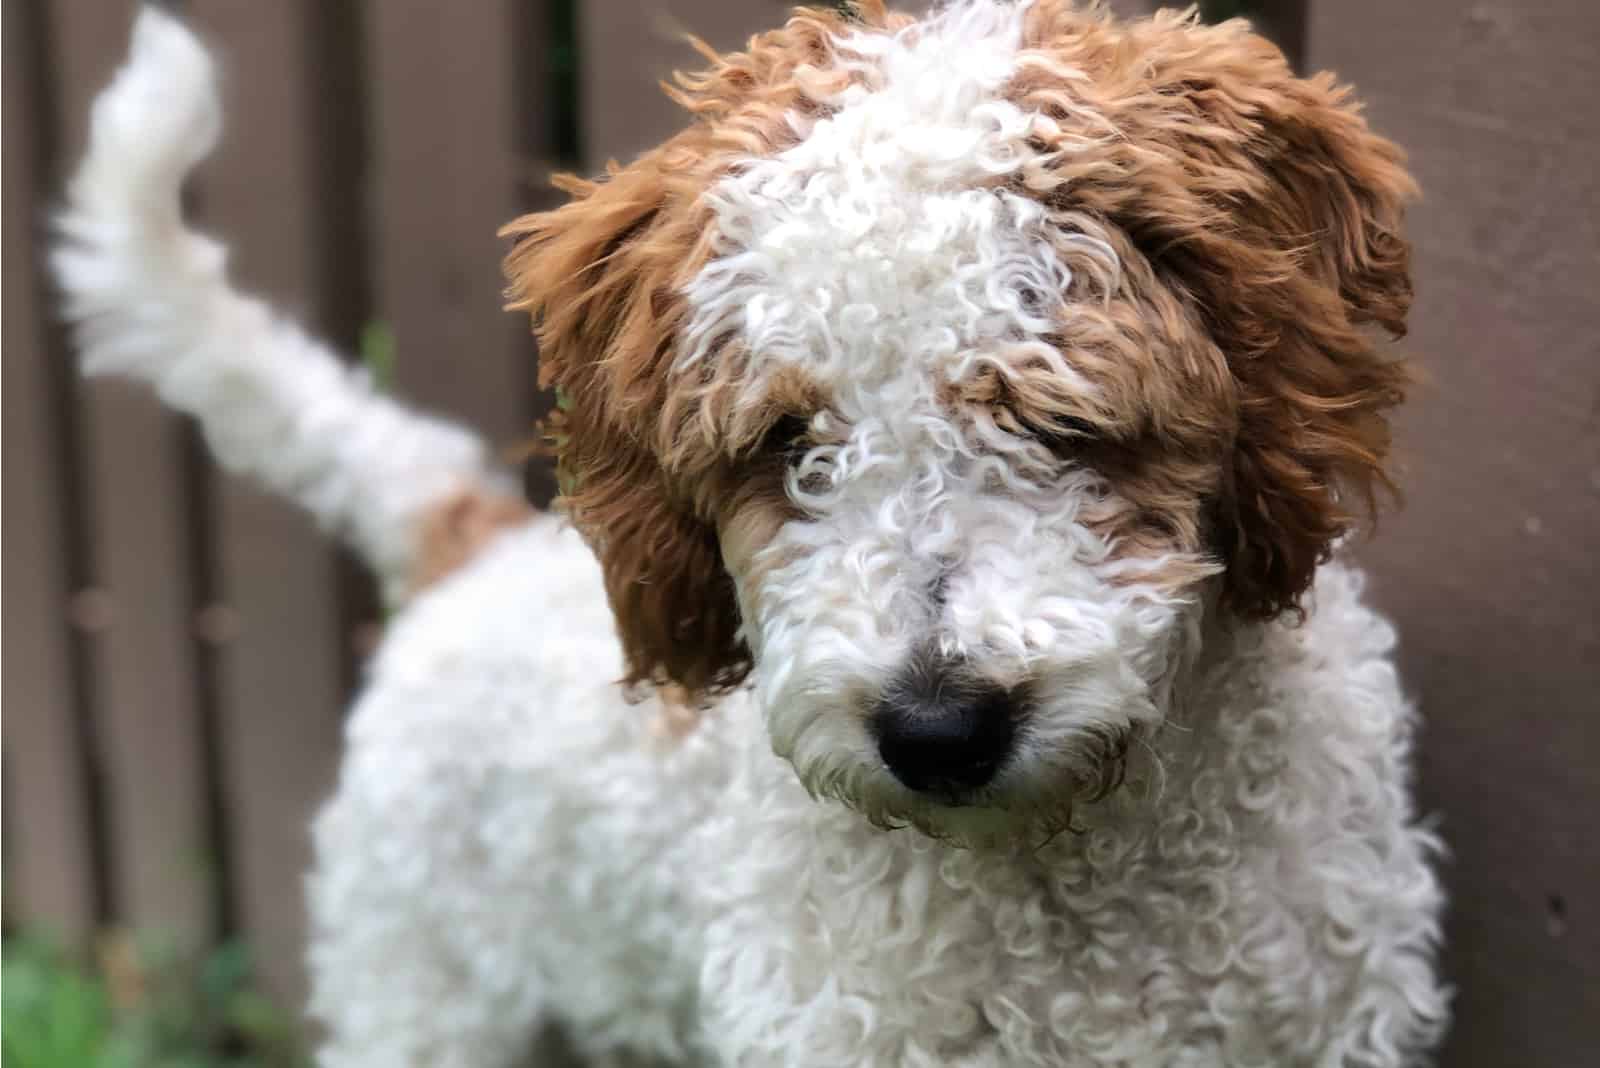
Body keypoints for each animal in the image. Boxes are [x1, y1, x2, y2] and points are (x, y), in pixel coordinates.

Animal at [53, 4, 1452, 1061]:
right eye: (787, 442)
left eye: (1056, 411)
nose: (935, 732)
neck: (1076, 906)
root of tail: (474, 541)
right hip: (424, 993)